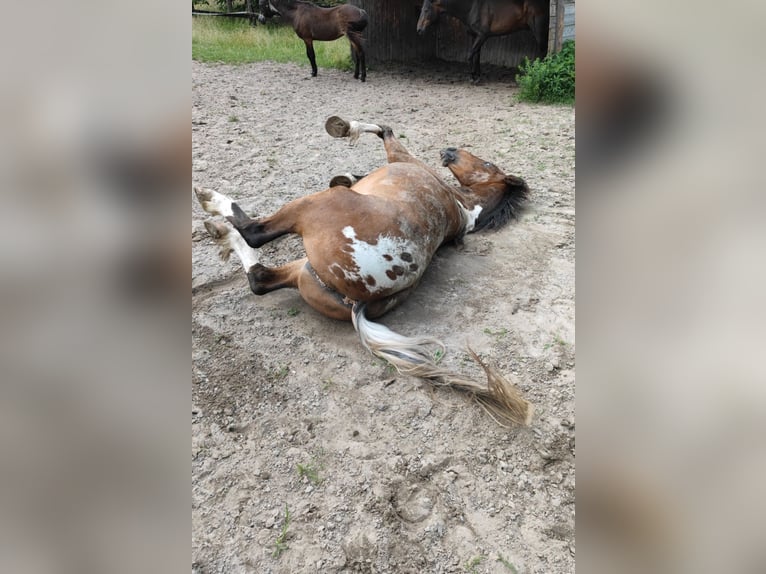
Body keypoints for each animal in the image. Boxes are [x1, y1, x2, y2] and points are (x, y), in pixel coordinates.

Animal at [194, 116, 532, 426]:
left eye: (487, 162)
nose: (449, 151)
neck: (462, 205)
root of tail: (363, 300)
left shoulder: (400, 157)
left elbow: (386, 130)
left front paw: (344, 128)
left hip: (315, 209)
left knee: (254, 235)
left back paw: (212, 205)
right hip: (303, 272)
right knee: (260, 278)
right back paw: (221, 232)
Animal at [417, 0, 549, 84]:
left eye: (426, 10)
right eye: (422, 9)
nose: (419, 30)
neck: (471, 8)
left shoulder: (482, 35)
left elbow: (470, 56)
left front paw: (473, 77)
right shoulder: (475, 36)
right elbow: (476, 56)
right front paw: (478, 76)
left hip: (539, 31)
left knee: (544, 50)